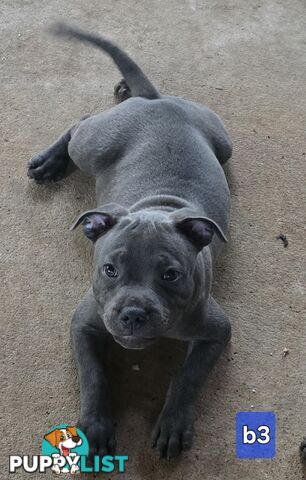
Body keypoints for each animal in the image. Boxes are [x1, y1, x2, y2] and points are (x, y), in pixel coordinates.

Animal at [28, 24, 232, 460]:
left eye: (171, 275)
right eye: (109, 269)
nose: (134, 314)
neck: (158, 207)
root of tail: (156, 100)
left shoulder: (217, 331)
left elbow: (187, 376)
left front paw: (172, 425)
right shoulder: (84, 323)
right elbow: (94, 377)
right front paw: (94, 427)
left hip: (222, 143)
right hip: (93, 145)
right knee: (80, 122)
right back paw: (49, 162)